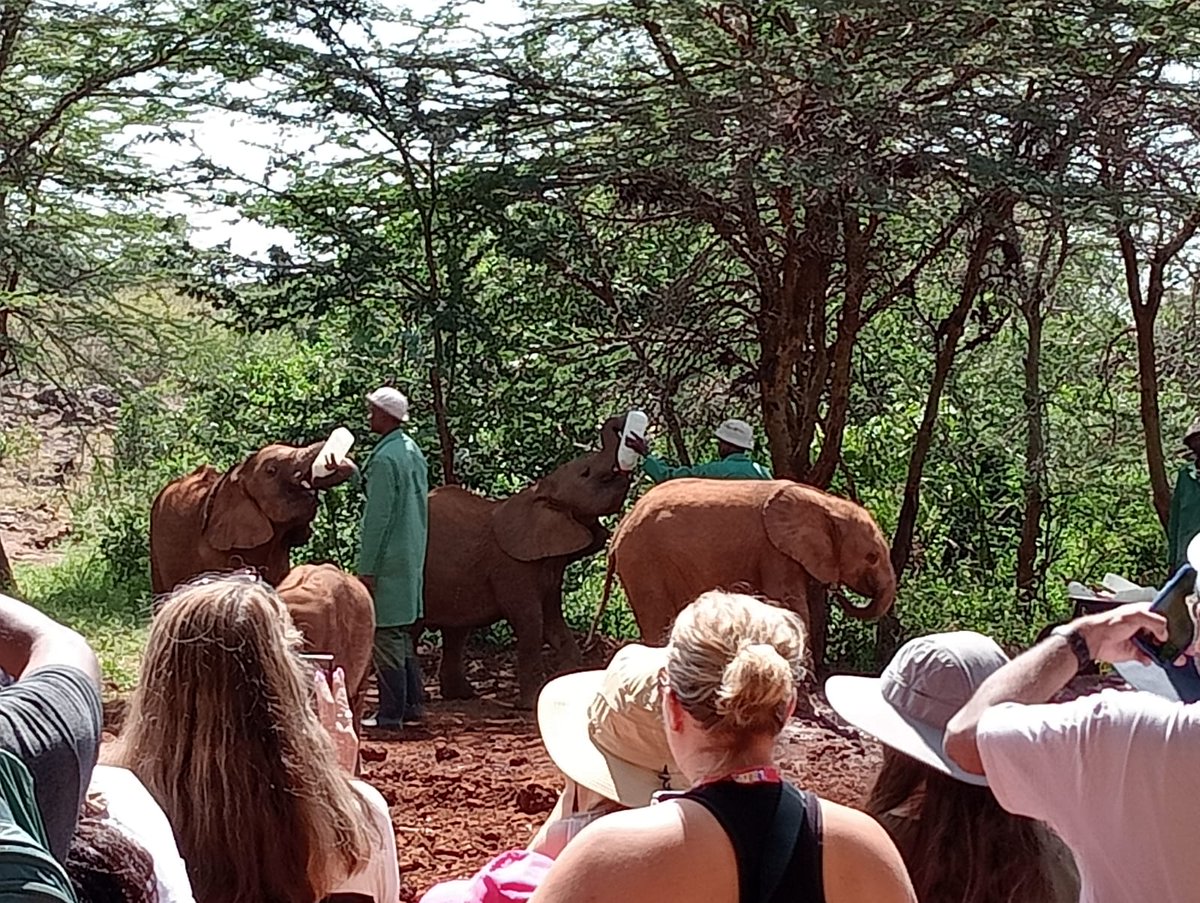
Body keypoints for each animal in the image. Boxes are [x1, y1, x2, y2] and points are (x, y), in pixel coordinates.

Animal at [423, 414, 633, 709]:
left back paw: (462, 695)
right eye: (586, 473)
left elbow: (554, 624)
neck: (538, 491)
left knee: (456, 631)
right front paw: (531, 704)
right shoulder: (512, 567)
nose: (624, 425)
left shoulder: (551, 564)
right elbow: (532, 622)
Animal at [605, 478, 896, 670]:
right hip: (644, 561)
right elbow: (789, 602)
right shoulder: (774, 551)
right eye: (872, 557)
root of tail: (620, 528)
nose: (837, 592)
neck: (827, 503)